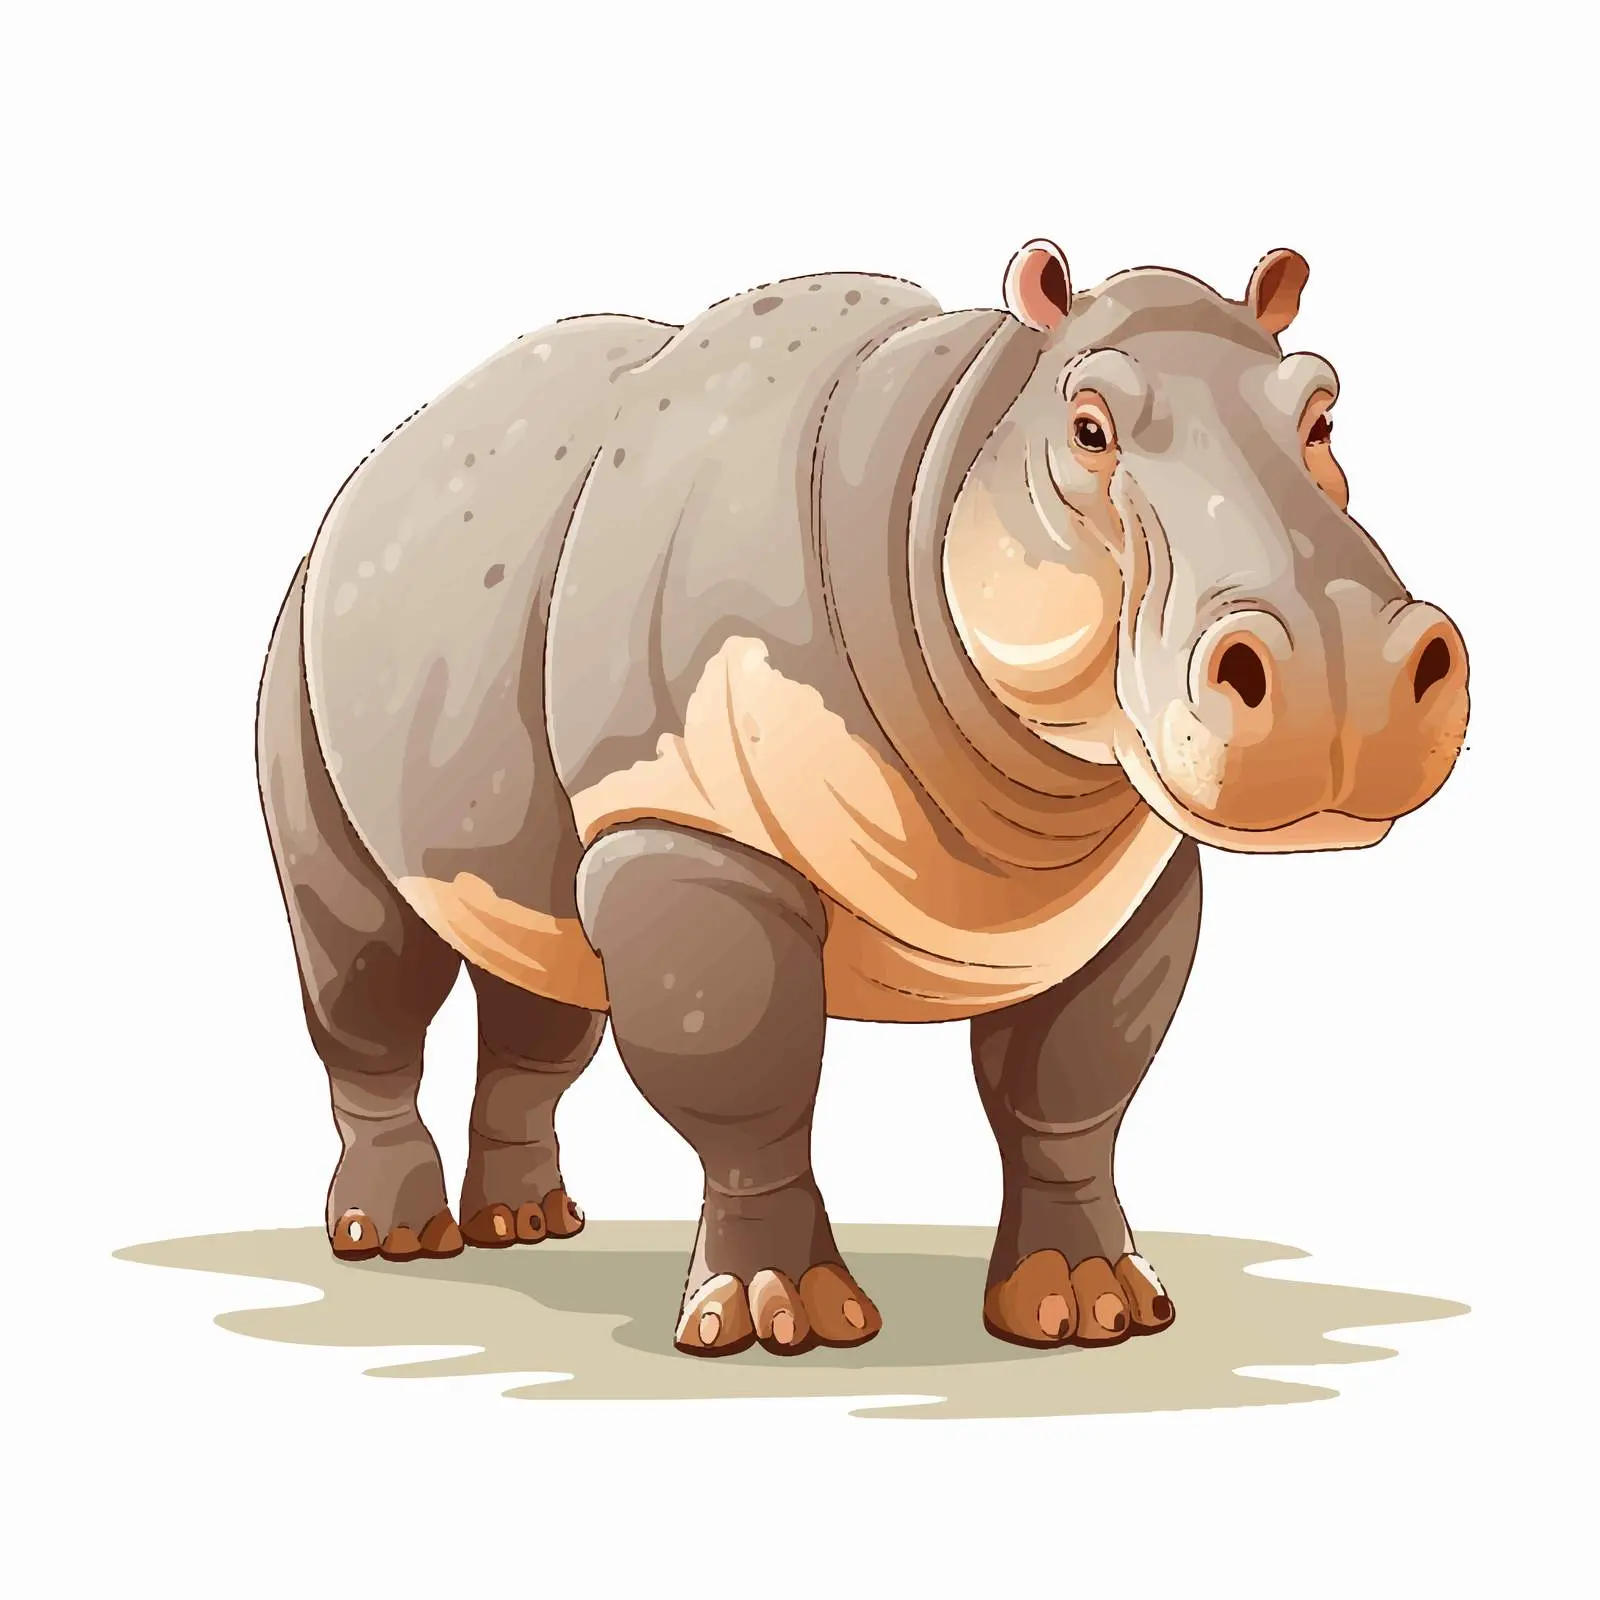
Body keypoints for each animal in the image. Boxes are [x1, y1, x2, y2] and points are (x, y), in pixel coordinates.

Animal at [256, 239, 1468, 1356]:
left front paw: (1094, 1311)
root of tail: (360, 483)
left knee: (540, 977)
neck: (959, 439)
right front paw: (772, 1322)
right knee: (364, 968)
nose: (1344, 678)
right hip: (302, 641)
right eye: (1088, 430)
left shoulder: (1133, 879)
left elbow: (1071, 1088)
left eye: (1323, 415)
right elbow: (748, 1078)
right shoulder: (683, 831)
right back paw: (391, 1241)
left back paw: (532, 1224)